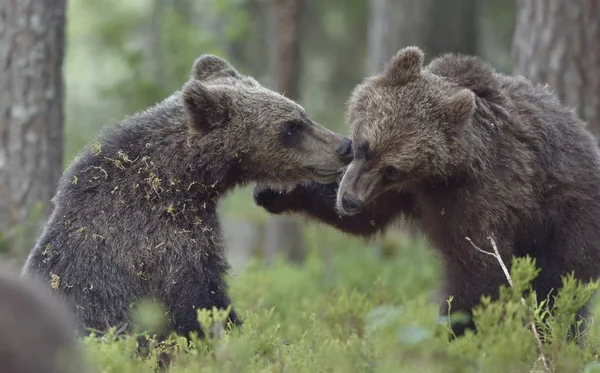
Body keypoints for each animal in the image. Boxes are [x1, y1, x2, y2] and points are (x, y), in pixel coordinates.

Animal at [21, 55, 354, 338]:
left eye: (302, 114)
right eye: (290, 127)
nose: (345, 145)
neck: (182, 181)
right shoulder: (163, 241)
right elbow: (200, 301)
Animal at [254, 46, 600, 338]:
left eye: (393, 168)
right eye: (364, 146)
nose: (350, 200)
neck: (439, 176)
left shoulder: (479, 198)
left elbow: (479, 272)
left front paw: (454, 330)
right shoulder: (401, 191)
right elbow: (368, 218)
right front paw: (276, 190)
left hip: (567, 218)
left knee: (557, 289)